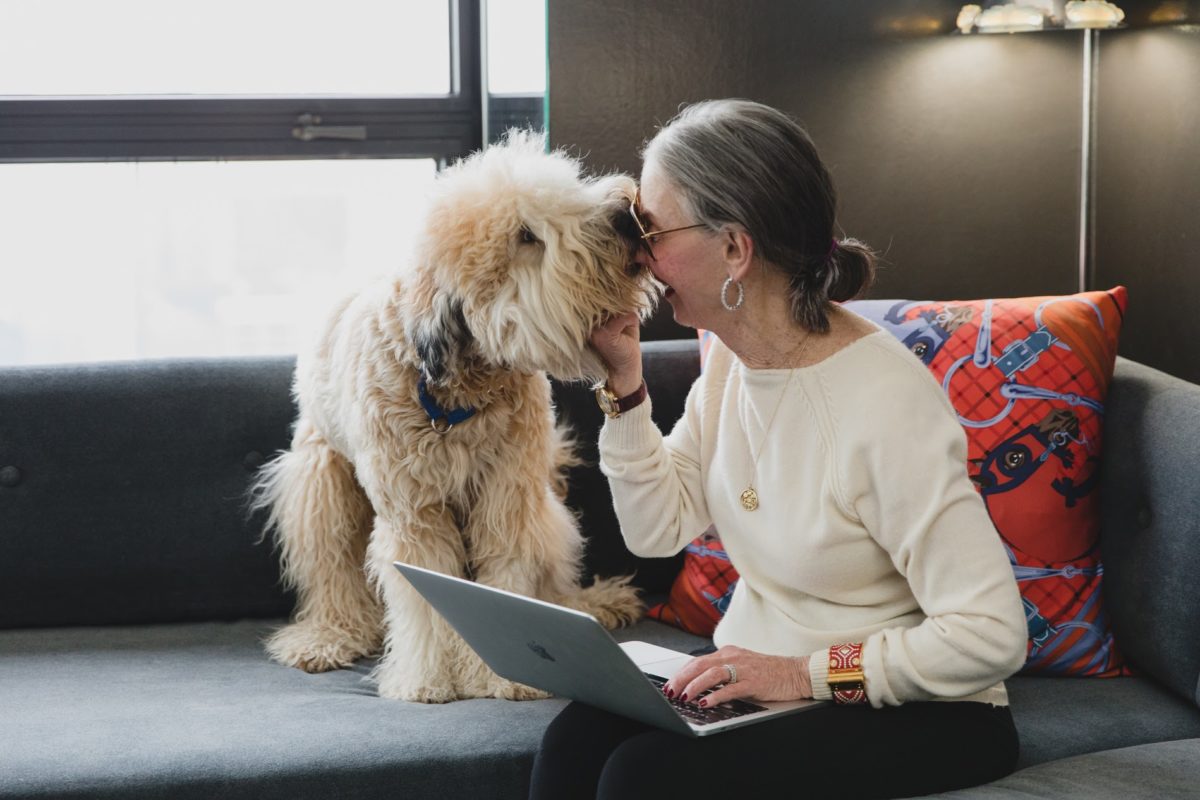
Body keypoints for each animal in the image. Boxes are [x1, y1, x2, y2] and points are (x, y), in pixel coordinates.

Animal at [252, 130, 657, 700]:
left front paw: (498, 673)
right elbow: (423, 599)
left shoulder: (508, 496)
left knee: (553, 579)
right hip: (322, 485)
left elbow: (507, 574)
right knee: (333, 573)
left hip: (543, 508)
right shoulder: (413, 513)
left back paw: (587, 607)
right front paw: (429, 678)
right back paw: (330, 636)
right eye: (526, 236)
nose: (624, 215)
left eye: (570, 190)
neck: (461, 389)